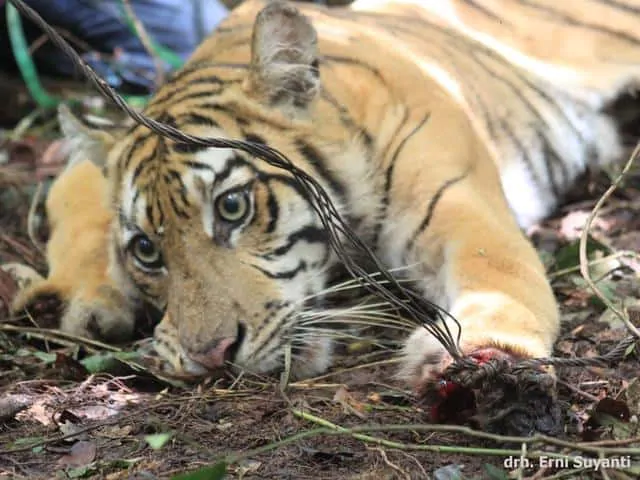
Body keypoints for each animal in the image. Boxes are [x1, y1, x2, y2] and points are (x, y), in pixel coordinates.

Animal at [8, 0, 640, 432]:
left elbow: (497, 269)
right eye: (146, 249)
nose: (213, 357)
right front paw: (79, 300)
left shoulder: (459, 199)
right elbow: (75, 199)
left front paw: (488, 363)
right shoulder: (83, 171)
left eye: (232, 206)